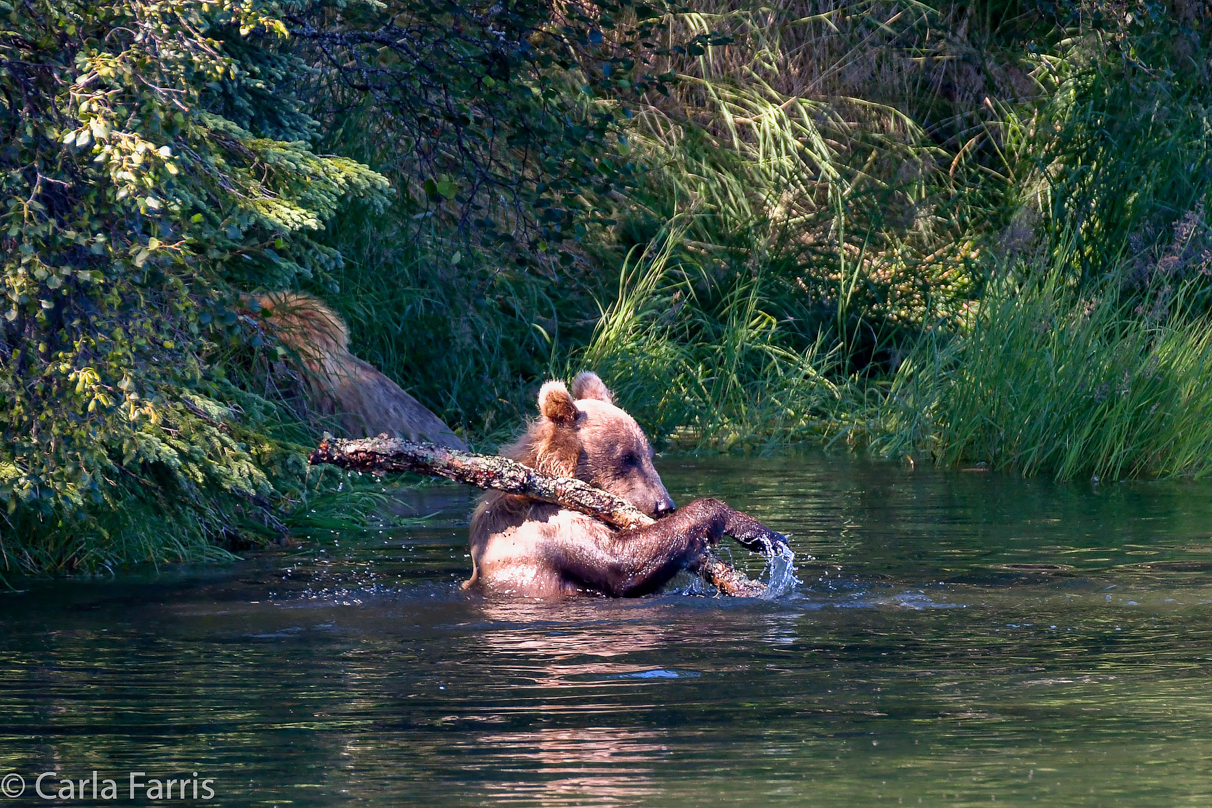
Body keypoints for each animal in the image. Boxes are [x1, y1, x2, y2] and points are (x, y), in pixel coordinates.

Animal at [462, 375, 785, 598]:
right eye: (627, 457)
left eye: (649, 454)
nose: (664, 505)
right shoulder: (543, 528)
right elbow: (619, 561)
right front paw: (741, 523)